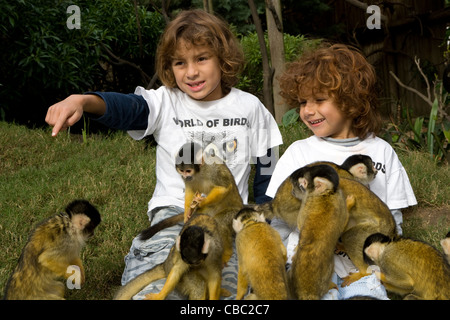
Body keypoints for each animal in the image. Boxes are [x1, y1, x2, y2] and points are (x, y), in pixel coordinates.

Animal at [288, 165, 352, 300]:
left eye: (301, 184)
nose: (292, 190)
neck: (326, 194)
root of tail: (306, 293)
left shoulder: (308, 200)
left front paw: (349, 204)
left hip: (327, 272)